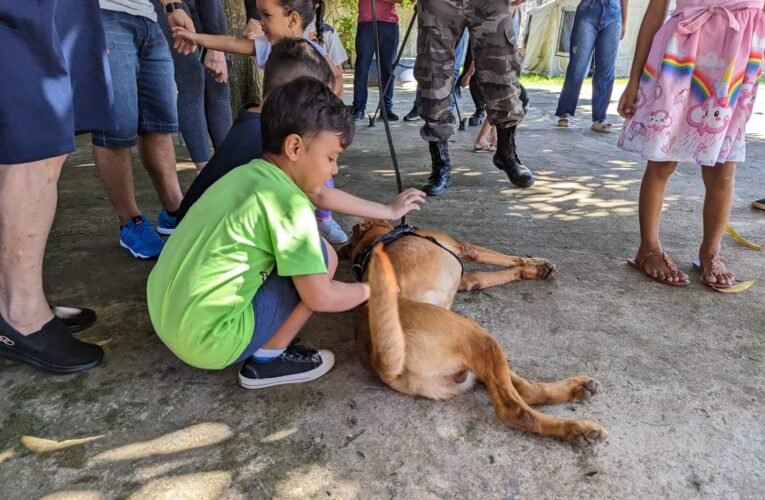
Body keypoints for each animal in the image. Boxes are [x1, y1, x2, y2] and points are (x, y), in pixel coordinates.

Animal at [344, 221, 604, 448]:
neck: (377, 239)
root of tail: (378, 359)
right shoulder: (464, 248)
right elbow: (506, 257)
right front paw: (535, 264)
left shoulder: (468, 279)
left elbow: (488, 275)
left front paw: (533, 270)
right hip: (477, 336)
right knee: (513, 408)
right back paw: (575, 429)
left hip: (477, 351)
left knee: (525, 389)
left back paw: (577, 390)